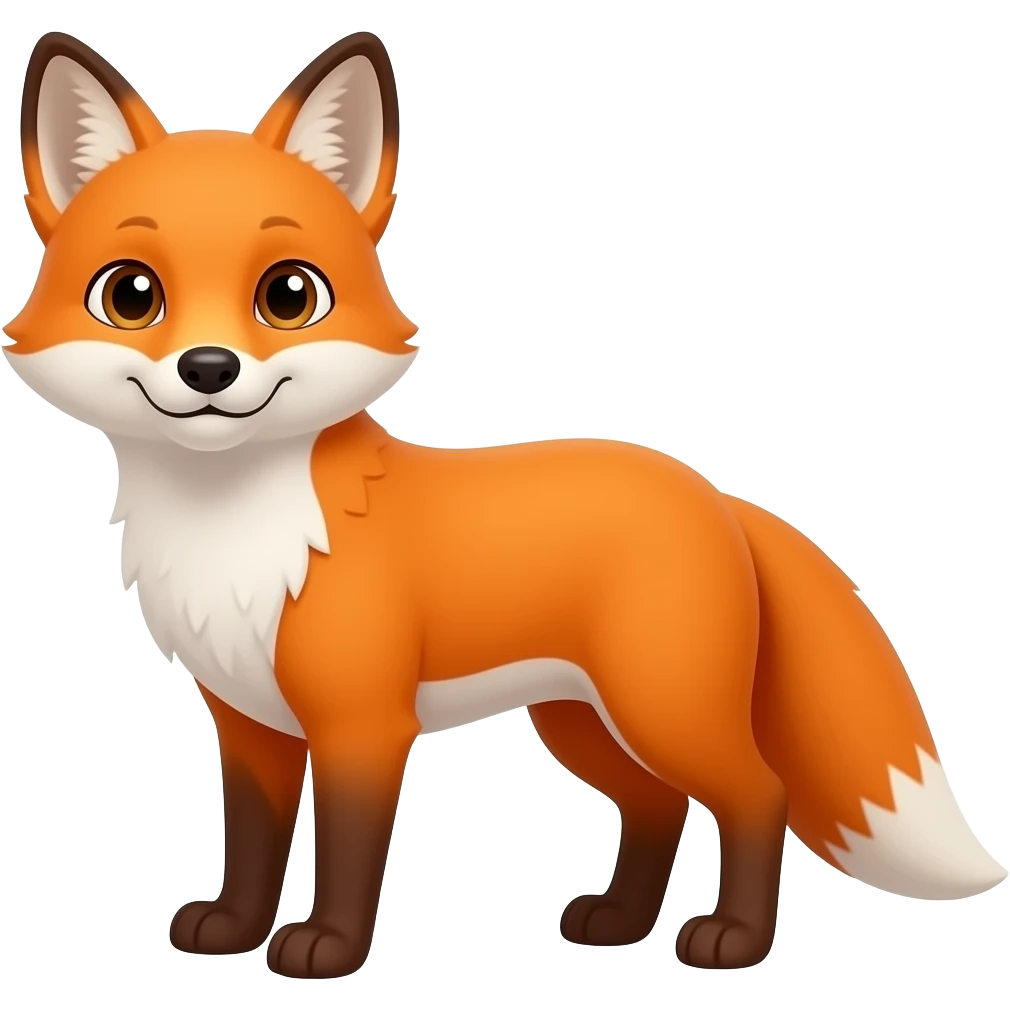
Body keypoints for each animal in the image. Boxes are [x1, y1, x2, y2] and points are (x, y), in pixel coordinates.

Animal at [6, 29, 1007, 980]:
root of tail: (715, 492)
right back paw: (618, 923)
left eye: (288, 294)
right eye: (132, 293)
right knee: (659, 803)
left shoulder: (365, 725)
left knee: (760, 795)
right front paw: (233, 930)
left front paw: (328, 948)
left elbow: (349, 855)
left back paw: (732, 941)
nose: (208, 369)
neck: (237, 531)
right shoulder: (250, 725)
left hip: (661, 706)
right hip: (583, 721)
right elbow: (251, 847)